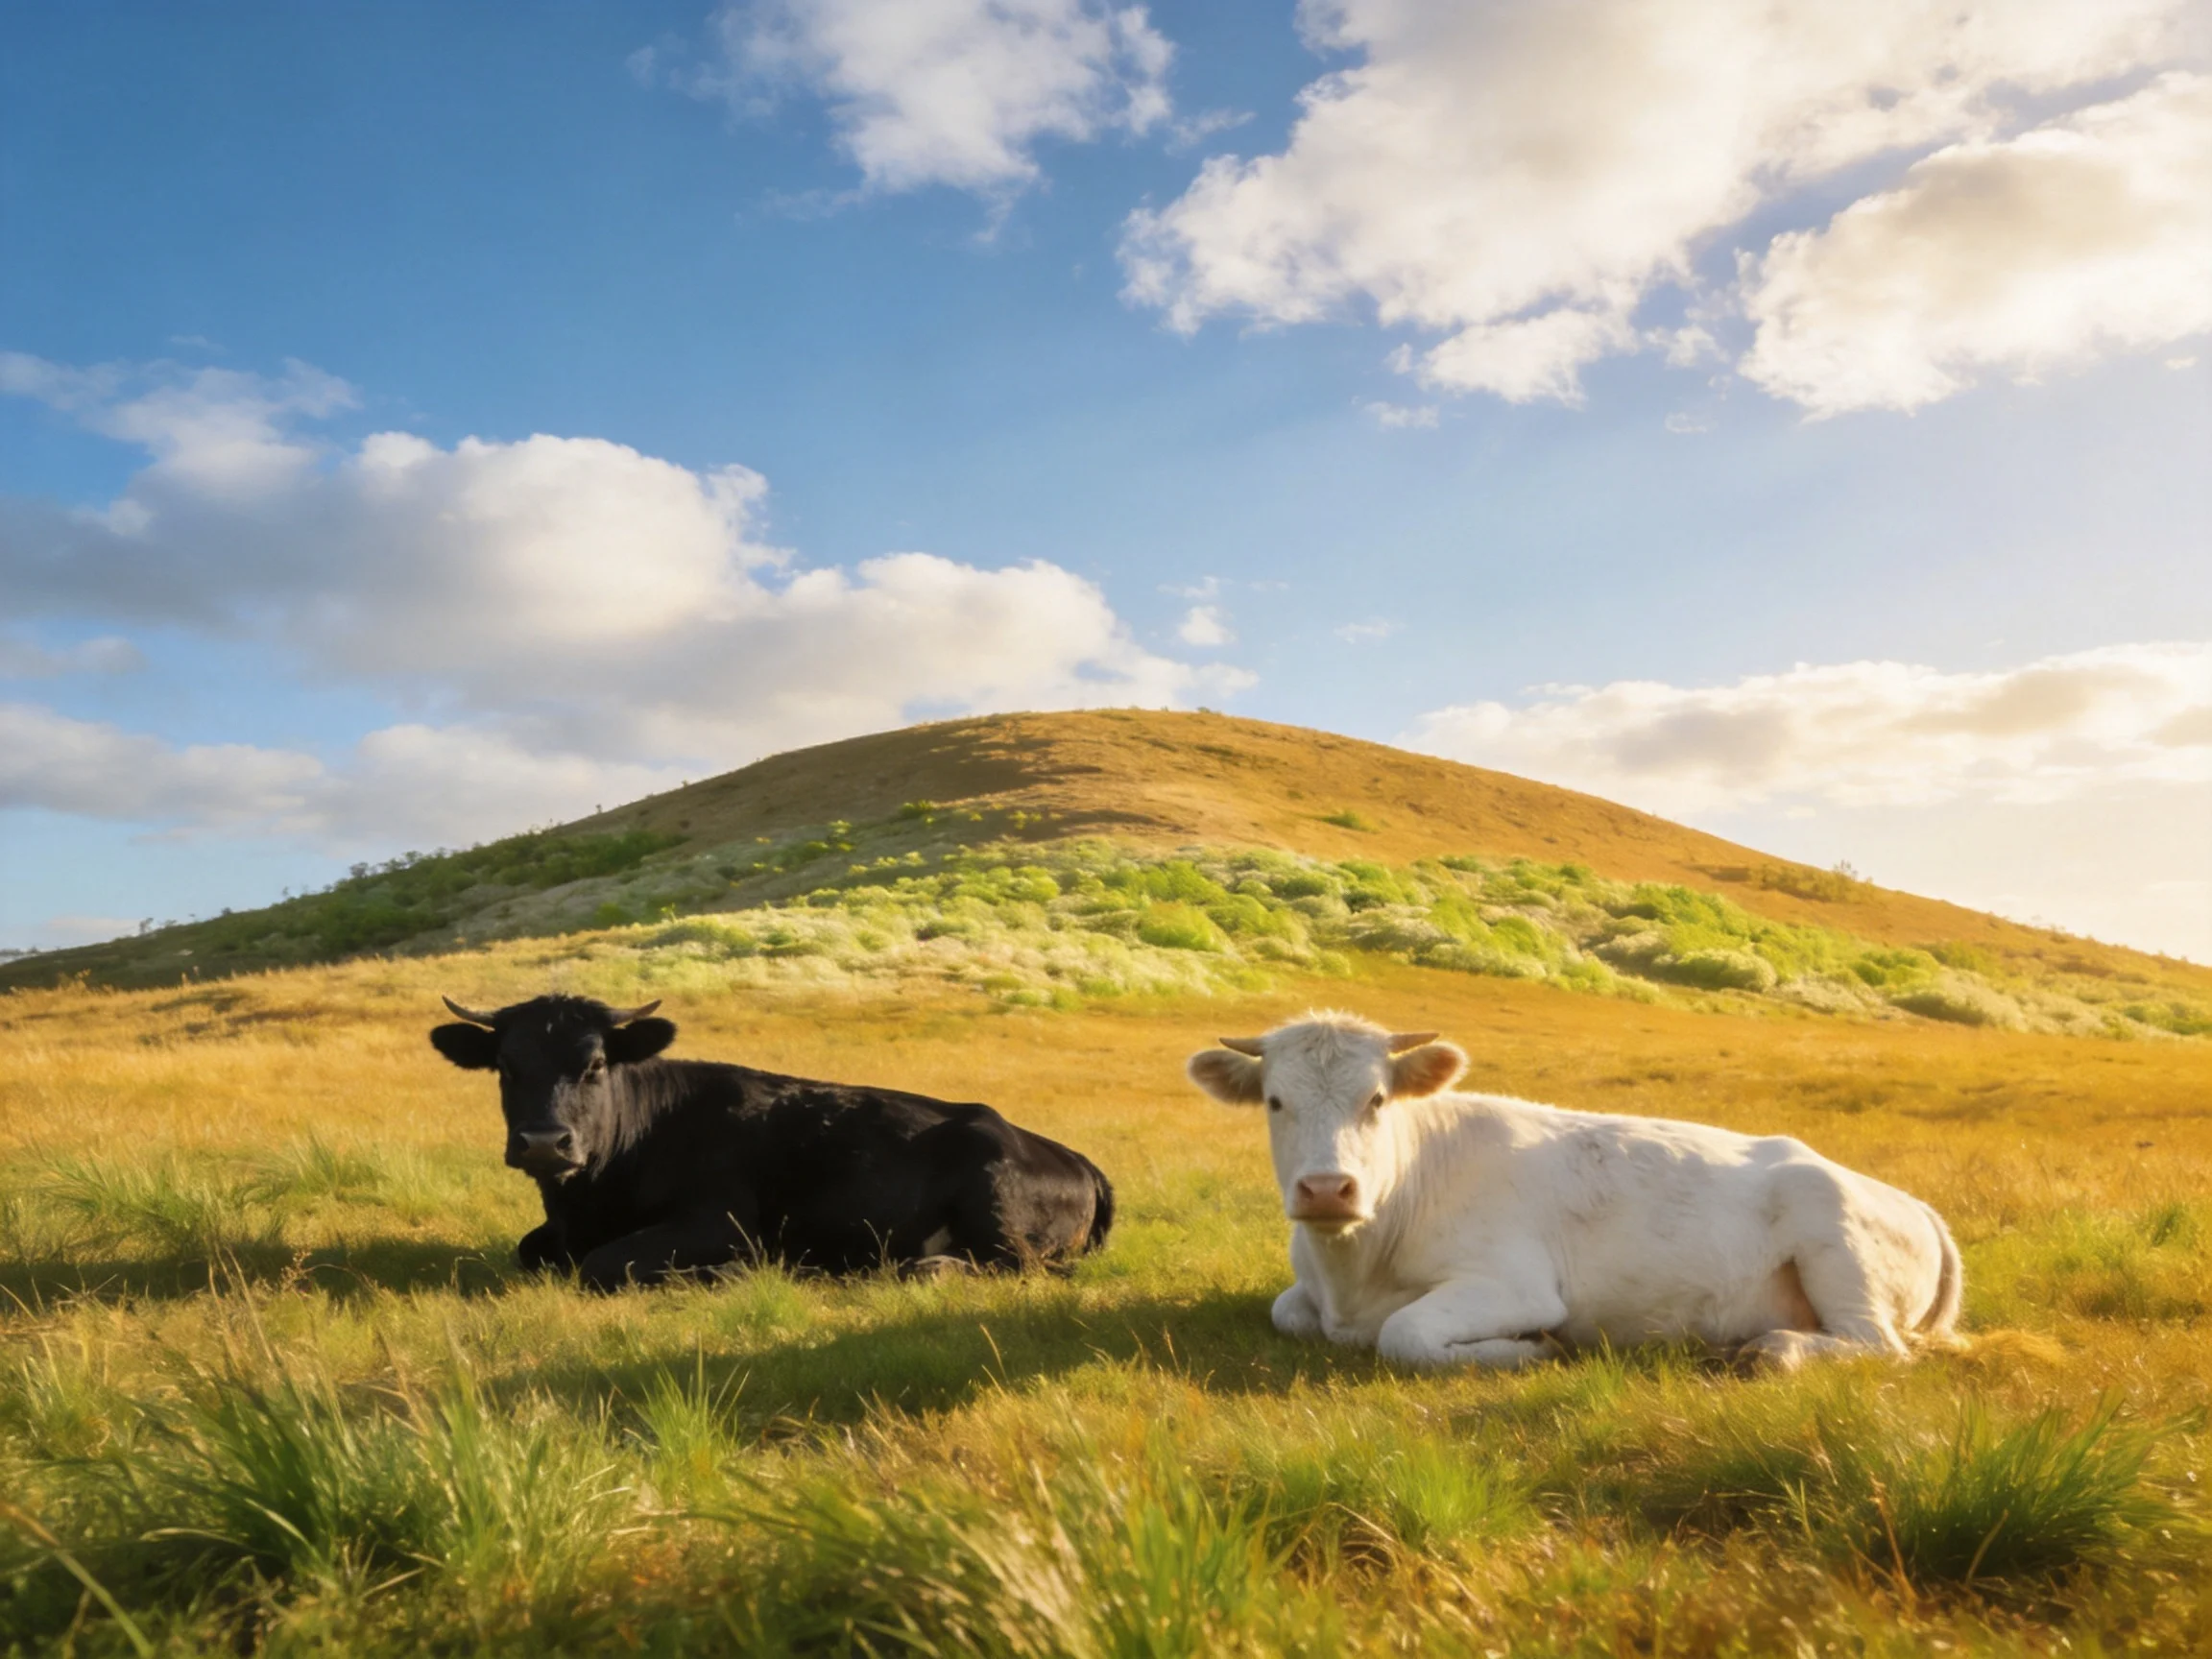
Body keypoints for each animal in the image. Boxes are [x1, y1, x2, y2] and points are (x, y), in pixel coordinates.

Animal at [430, 994, 1113, 1291]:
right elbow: (529, 1249)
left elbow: (604, 1265)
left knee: (1010, 1266)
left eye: (595, 1063)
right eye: (506, 1066)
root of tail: (1072, 1155)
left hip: (994, 1203)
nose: (545, 1142)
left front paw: (727, 1274)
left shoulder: (719, 1221)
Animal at [1185, 1012, 1962, 1372]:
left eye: (1376, 1100)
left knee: (1876, 1345)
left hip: (1837, 1245)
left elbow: (1403, 1335)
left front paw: (1527, 1349)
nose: (1327, 1189)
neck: (1352, 1272)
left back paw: (1772, 1348)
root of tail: (1918, 1205)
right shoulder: (1306, 1298)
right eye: (1275, 1102)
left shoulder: (1515, 1283)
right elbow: (1287, 1311)